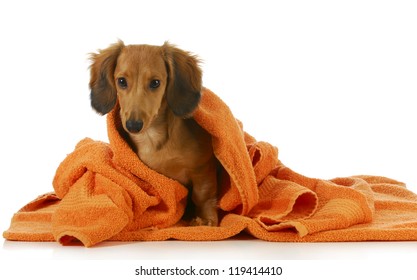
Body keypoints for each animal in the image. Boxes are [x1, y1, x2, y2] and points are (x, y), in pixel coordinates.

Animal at [88, 40, 218, 226]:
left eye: (155, 83)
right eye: (121, 81)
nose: (133, 125)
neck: (153, 139)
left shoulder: (204, 167)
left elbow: (202, 195)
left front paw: (206, 219)